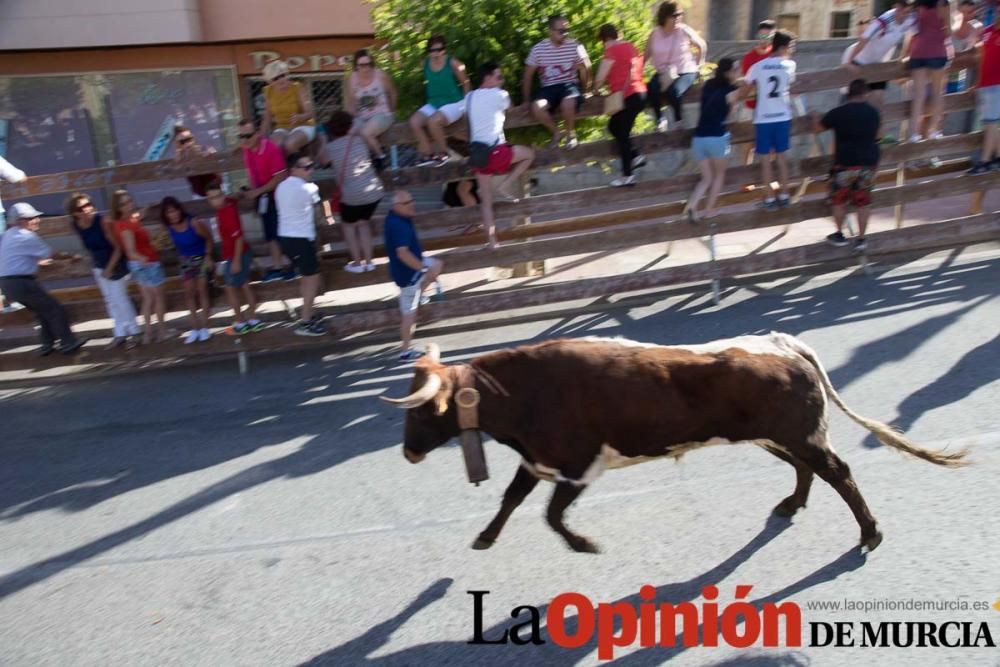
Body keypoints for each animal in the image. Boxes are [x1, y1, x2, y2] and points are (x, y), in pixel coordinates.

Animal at [382, 332, 968, 552]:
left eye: (422, 412)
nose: (407, 451)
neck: (522, 392)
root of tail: (781, 342)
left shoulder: (577, 465)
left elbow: (551, 514)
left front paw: (584, 544)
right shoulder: (537, 461)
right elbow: (512, 499)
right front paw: (485, 536)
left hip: (799, 435)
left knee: (839, 473)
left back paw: (870, 533)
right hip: (776, 436)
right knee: (807, 471)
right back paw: (791, 505)